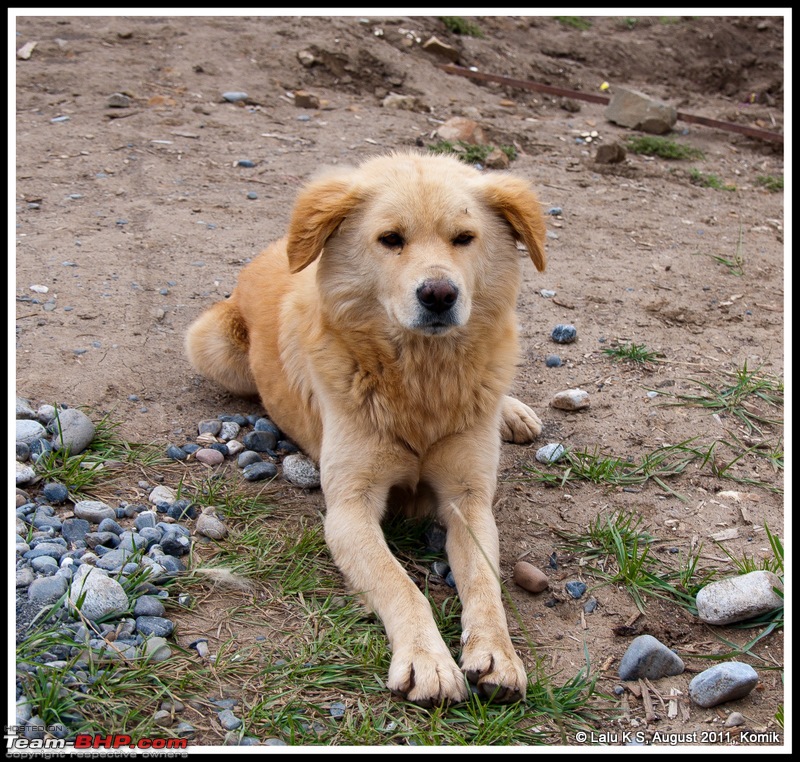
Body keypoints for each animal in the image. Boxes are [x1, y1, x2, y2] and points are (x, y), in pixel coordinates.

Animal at [184, 150, 548, 708]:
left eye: (464, 238)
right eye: (391, 239)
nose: (439, 294)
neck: (420, 381)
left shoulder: (469, 500)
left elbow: (486, 584)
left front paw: (496, 655)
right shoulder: (349, 510)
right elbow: (401, 585)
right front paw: (427, 661)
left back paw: (509, 411)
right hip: (212, 346)